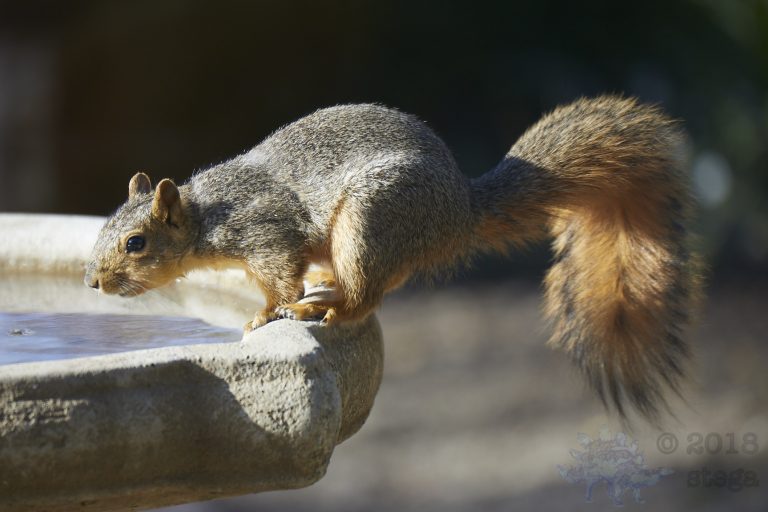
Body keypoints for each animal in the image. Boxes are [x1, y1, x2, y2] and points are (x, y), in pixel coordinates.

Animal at [85, 96, 700, 423]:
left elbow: (280, 280)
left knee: (366, 298)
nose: (94, 283)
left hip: (371, 220)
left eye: (135, 243)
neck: (208, 216)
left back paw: (323, 308)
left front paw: (264, 315)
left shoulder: (267, 236)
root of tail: (459, 211)